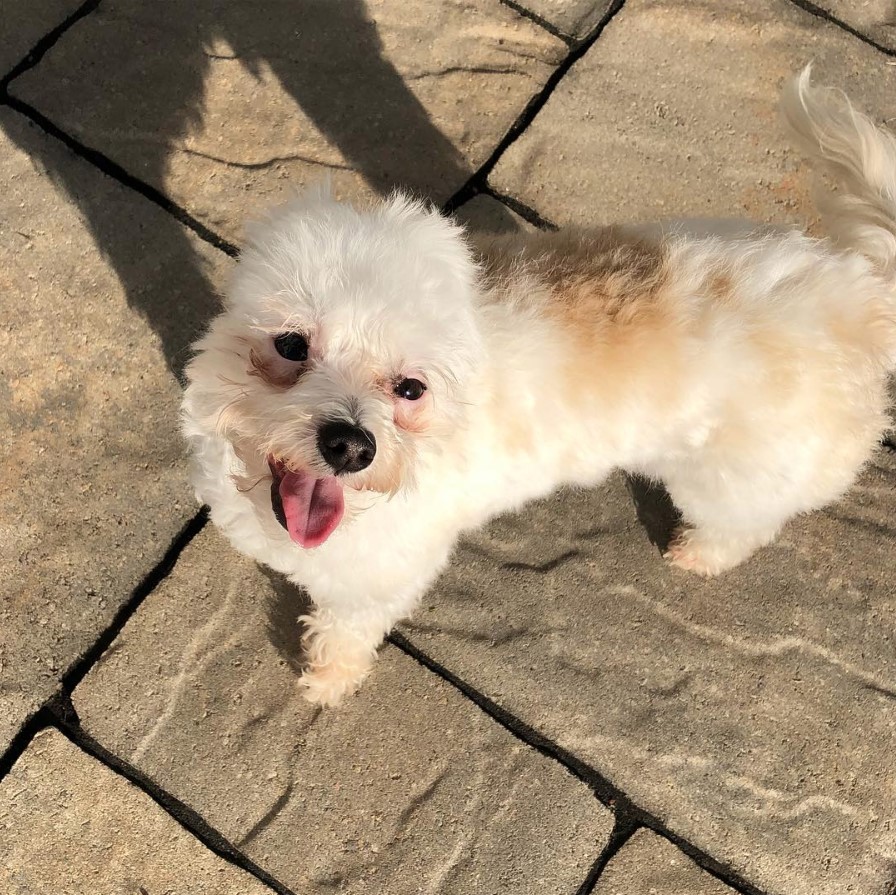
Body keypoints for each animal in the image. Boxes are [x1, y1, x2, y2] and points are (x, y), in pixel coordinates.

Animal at [180, 70, 896, 708]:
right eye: (291, 346)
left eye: (411, 388)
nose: (351, 445)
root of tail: (859, 290)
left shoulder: (380, 576)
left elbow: (346, 631)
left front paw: (329, 681)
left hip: (737, 475)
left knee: (744, 524)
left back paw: (698, 554)